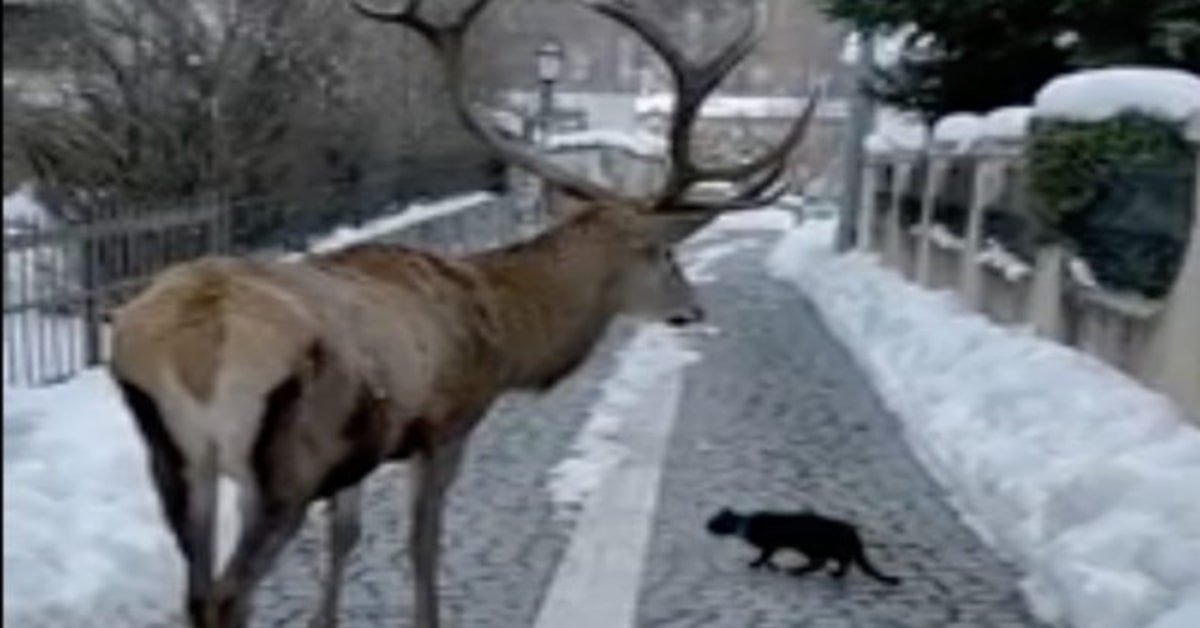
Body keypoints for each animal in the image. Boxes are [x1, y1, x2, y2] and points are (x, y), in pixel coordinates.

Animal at [700, 509, 902, 588]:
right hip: (826, 549)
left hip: (816, 546)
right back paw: (834, 574)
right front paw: (771, 566)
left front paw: (756, 564)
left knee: (823, 563)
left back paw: (796, 571)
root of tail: (854, 534)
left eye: (713, 522)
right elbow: (768, 558)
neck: (747, 524)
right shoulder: (772, 547)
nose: (705, 525)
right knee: (840, 562)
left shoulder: (771, 545)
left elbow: (764, 556)